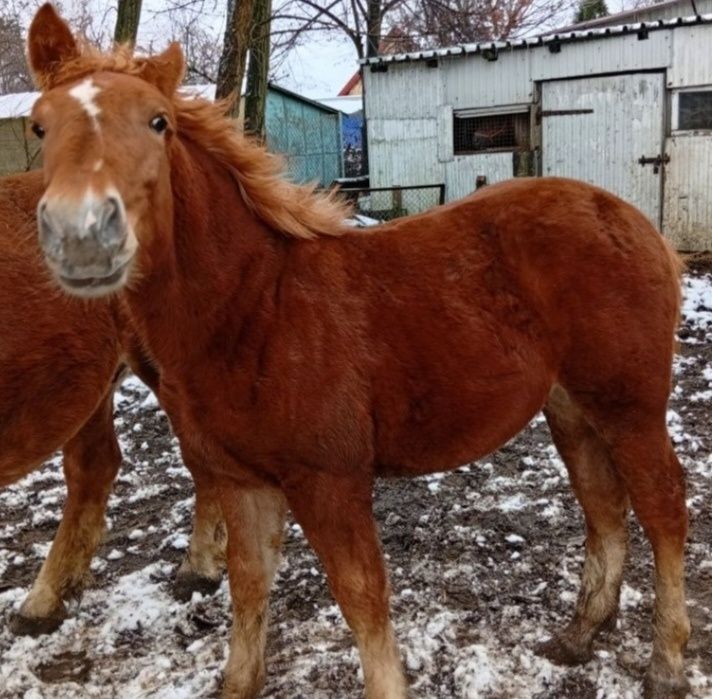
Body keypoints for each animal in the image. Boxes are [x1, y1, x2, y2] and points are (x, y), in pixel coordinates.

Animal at [26, 5, 690, 698]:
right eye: (40, 126)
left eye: (159, 122)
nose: (82, 236)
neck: (253, 308)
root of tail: (635, 222)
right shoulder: (242, 481)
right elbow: (249, 585)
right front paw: (239, 678)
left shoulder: (331, 480)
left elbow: (361, 596)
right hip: (571, 409)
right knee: (605, 508)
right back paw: (580, 634)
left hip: (630, 407)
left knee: (664, 510)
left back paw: (666, 663)